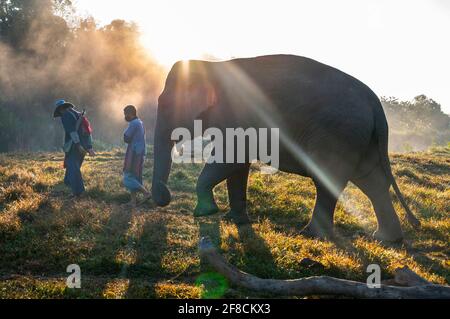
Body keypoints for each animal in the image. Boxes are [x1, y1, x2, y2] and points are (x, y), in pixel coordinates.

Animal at [152, 54, 422, 242]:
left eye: (165, 104)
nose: (165, 198)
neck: (211, 66)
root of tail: (374, 102)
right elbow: (237, 165)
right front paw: (235, 220)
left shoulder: (236, 114)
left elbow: (230, 160)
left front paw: (205, 213)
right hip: (361, 138)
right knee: (372, 181)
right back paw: (386, 238)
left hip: (339, 134)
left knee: (329, 179)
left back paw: (311, 234)